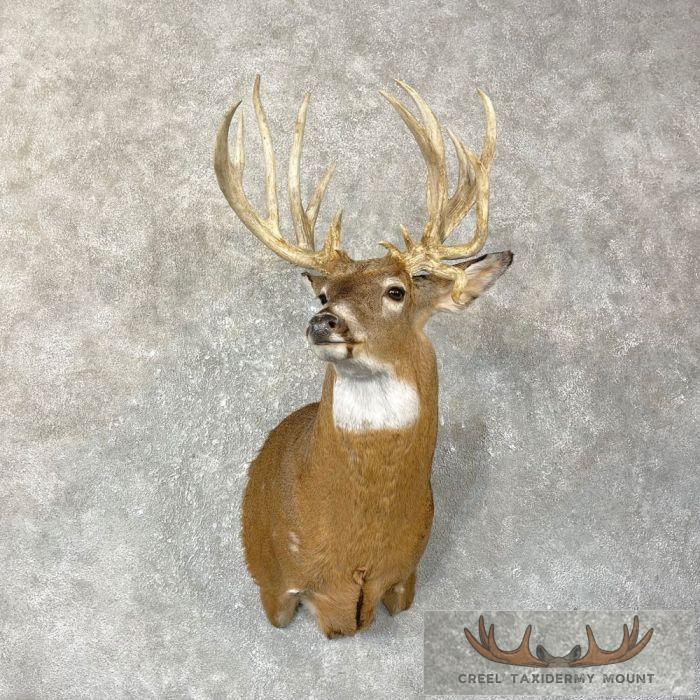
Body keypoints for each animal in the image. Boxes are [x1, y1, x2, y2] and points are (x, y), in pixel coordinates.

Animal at [214, 76, 512, 638]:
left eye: (397, 291)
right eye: (323, 294)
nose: (323, 322)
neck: (354, 552)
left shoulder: (406, 575)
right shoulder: (277, 586)